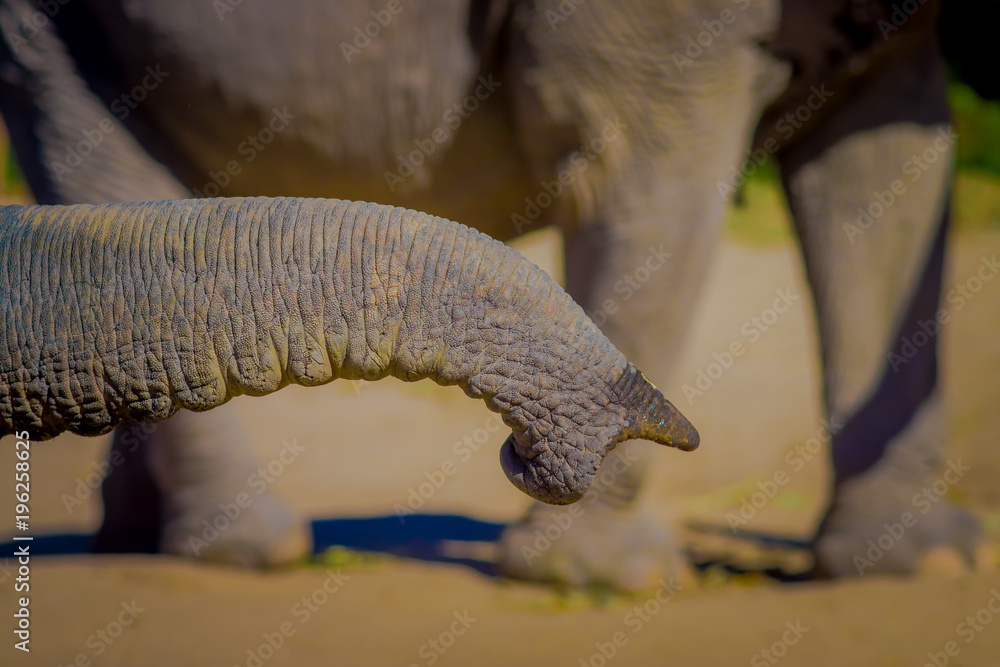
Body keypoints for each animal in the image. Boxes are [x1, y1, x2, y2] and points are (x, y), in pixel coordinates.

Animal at [0, 0, 982, 586]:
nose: (521, 451)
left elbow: (890, 170)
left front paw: (920, 568)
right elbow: (646, 165)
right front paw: (604, 582)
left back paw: (134, 539)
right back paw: (251, 552)